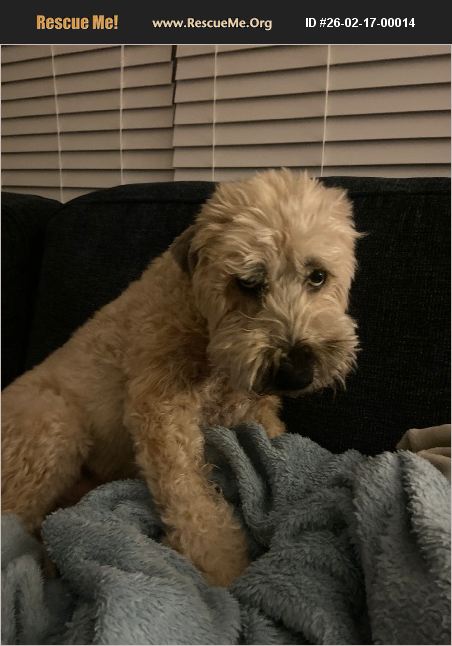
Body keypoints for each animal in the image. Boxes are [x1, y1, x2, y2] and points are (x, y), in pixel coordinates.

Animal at [2, 169, 360, 586]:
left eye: (317, 276)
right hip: (52, 426)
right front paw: (224, 571)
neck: (201, 321)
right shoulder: (161, 411)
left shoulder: (251, 410)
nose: (297, 373)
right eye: (248, 282)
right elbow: (192, 500)